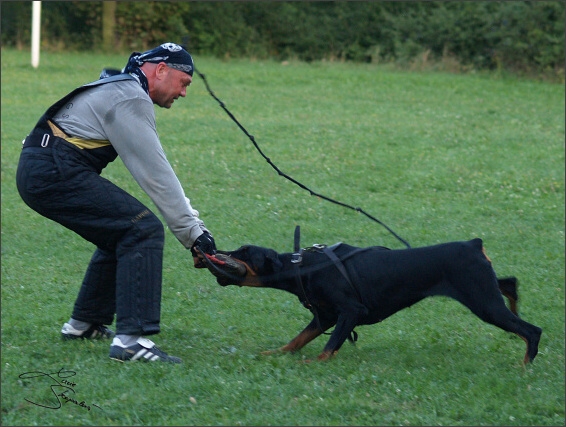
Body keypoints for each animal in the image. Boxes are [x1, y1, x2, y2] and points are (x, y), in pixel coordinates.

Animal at [202, 237, 544, 364]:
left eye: (244, 252)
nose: (213, 249)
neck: (303, 267)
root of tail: (474, 244)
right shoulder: (324, 317)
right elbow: (297, 340)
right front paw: (275, 353)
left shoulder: (350, 312)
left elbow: (328, 348)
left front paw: (313, 364)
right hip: (484, 289)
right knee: (510, 285)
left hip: (483, 302)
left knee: (532, 330)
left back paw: (525, 365)